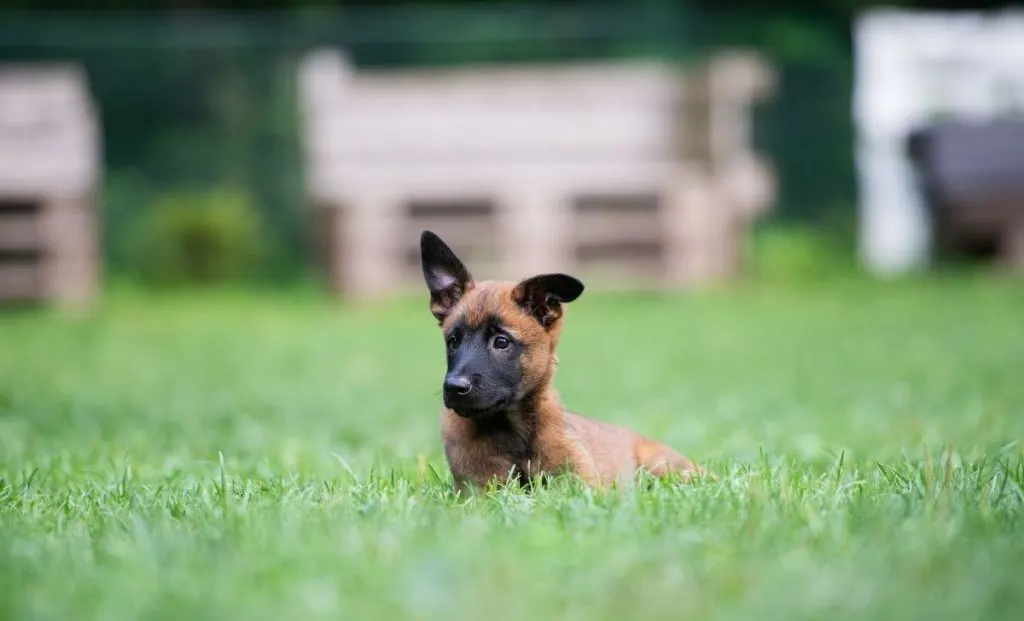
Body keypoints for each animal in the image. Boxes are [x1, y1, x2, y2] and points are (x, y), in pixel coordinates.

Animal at [419, 228, 700, 491]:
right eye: (453, 342)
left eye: (501, 341)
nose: (454, 387)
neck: (512, 430)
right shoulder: (479, 490)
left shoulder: (583, 485)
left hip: (666, 466)